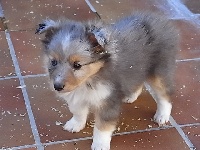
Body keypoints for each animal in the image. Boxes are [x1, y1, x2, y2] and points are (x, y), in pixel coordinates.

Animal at [36, 12, 179, 150]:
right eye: (53, 62)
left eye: (77, 65)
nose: (57, 87)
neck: (89, 80)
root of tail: (160, 19)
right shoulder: (76, 96)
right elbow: (78, 112)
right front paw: (75, 125)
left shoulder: (108, 101)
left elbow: (102, 127)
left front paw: (100, 145)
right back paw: (130, 96)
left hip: (159, 73)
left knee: (165, 96)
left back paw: (162, 116)